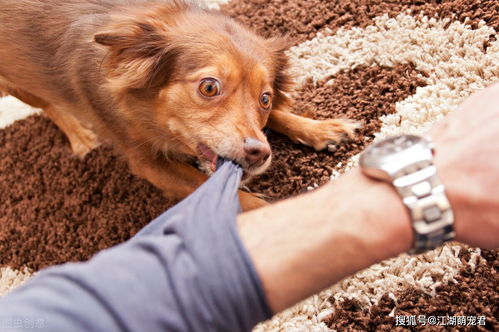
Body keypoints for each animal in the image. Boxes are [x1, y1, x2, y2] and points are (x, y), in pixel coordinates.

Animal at [0, 0, 360, 210]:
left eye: (266, 99)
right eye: (209, 87)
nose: (260, 153)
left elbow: (281, 118)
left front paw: (318, 129)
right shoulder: (148, 163)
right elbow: (219, 191)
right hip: (16, 83)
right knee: (48, 106)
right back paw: (79, 135)